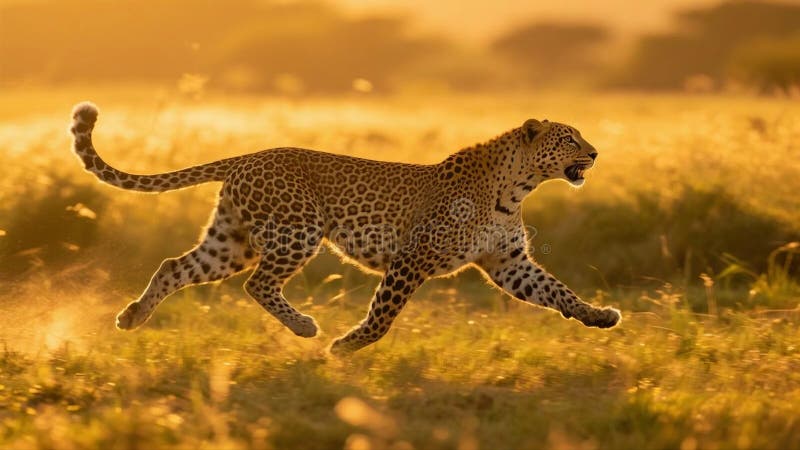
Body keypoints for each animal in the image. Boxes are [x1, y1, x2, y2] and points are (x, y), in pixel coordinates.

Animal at [69, 102, 620, 355]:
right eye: (569, 138)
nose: (596, 153)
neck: (517, 188)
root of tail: (247, 155)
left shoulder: (508, 263)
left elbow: (557, 291)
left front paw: (598, 316)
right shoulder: (411, 259)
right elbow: (384, 315)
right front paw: (348, 345)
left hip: (231, 242)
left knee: (175, 265)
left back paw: (133, 317)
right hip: (297, 231)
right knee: (257, 283)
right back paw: (306, 327)